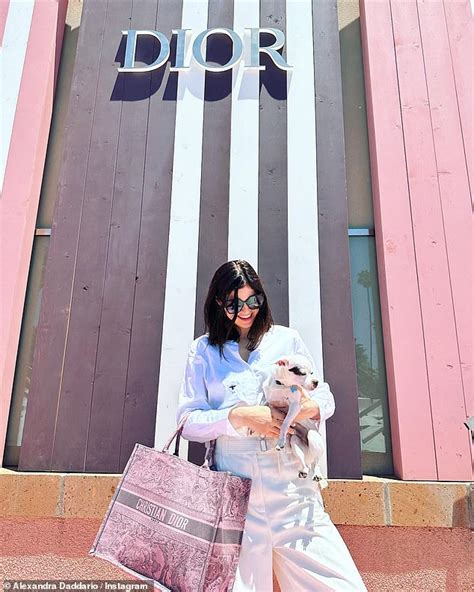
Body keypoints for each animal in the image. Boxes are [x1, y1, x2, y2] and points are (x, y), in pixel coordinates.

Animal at [262, 354, 328, 488]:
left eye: (312, 372)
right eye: (302, 373)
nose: (316, 382)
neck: (281, 385)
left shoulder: (295, 406)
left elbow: (285, 423)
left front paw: (281, 440)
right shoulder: (271, 403)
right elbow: (266, 406)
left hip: (313, 437)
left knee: (316, 463)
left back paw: (317, 474)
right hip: (295, 442)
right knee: (306, 465)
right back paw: (303, 470)